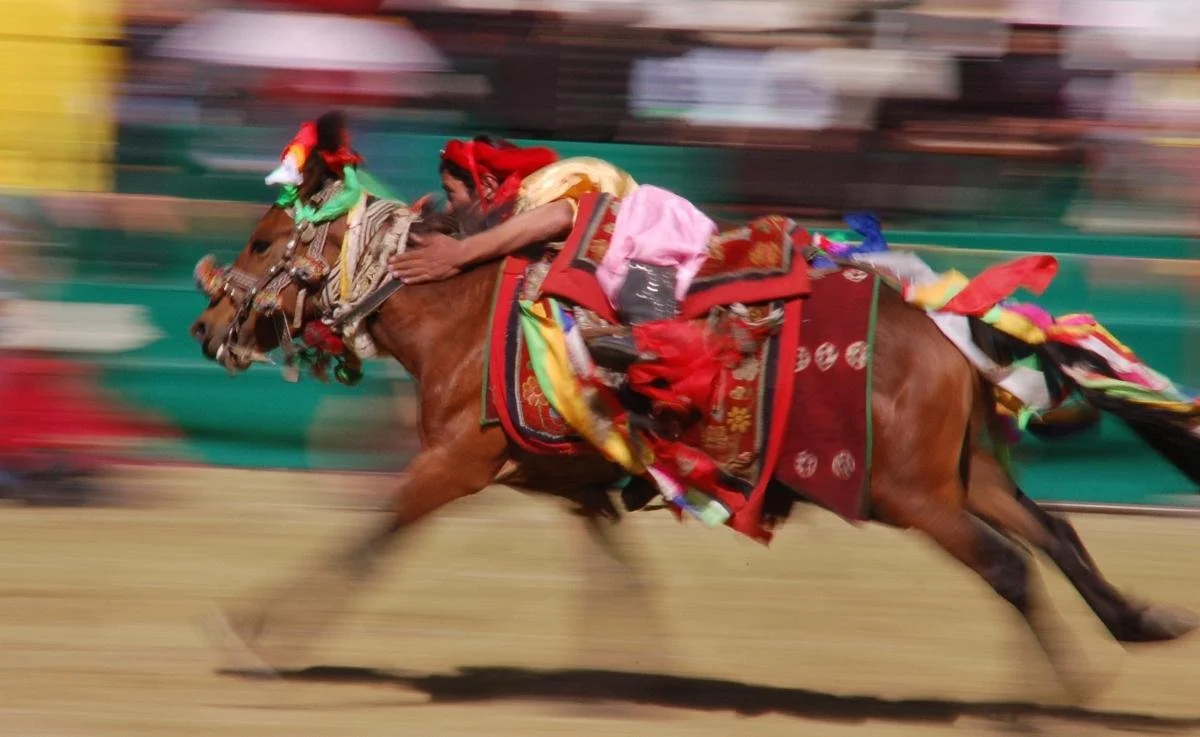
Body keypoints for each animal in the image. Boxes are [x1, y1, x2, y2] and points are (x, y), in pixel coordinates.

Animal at [189, 128, 1197, 698]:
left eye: (264, 240)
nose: (204, 323)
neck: (467, 318)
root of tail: (953, 328)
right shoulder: (571, 481)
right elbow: (618, 581)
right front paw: (611, 684)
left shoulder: (454, 464)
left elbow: (365, 540)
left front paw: (255, 633)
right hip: (960, 472)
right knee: (1054, 534)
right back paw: (1139, 623)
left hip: (908, 493)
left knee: (1009, 566)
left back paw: (1047, 699)